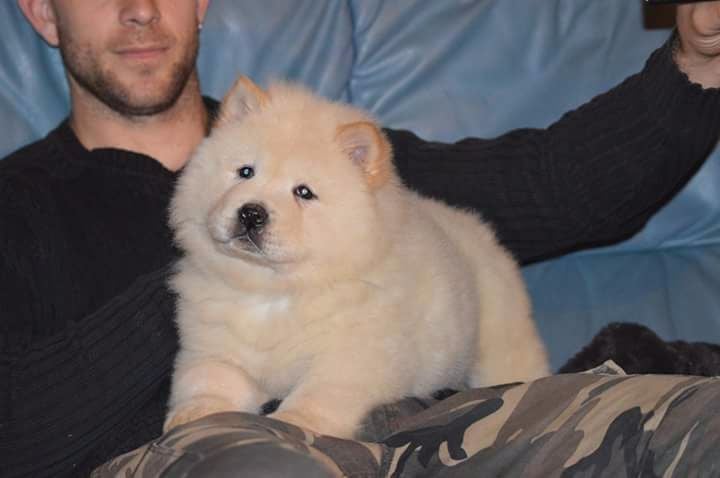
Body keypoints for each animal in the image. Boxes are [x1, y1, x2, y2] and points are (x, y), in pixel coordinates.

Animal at [164, 76, 550, 439]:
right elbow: (208, 378)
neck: (272, 292)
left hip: (498, 341)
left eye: (304, 192)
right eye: (245, 172)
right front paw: (193, 415)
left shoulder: (351, 357)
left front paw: (293, 422)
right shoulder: (210, 346)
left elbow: (318, 393)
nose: (251, 213)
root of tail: (477, 230)